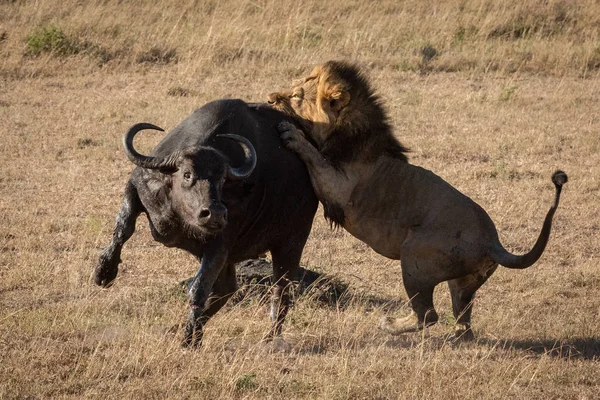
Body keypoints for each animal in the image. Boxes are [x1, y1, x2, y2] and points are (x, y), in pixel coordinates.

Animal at [92, 100, 318, 346]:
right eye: (187, 174)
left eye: (222, 179)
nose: (215, 214)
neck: (181, 216)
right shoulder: (137, 185)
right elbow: (123, 227)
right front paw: (103, 273)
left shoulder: (220, 244)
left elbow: (199, 289)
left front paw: (190, 337)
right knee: (227, 288)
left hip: (290, 245)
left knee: (279, 291)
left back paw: (269, 337)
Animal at [268, 61, 568, 340]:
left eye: (296, 96)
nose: (270, 99)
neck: (347, 134)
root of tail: (493, 243)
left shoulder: (341, 190)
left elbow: (313, 156)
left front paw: (291, 133)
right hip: (462, 283)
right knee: (463, 318)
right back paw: (456, 338)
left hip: (414, 258)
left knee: (428, 315)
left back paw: (390, 325)